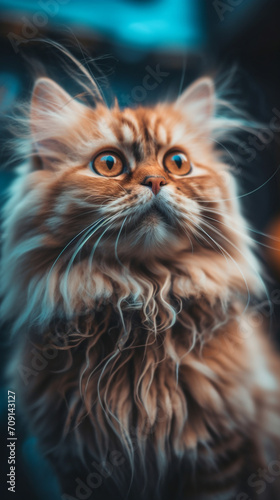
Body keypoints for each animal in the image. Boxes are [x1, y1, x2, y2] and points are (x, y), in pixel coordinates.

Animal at [1, 49, 280, 500]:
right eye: (109, 163)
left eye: (177, 163)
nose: (155, 181)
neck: (143, 298)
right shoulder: (79, 468)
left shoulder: (217, 462)